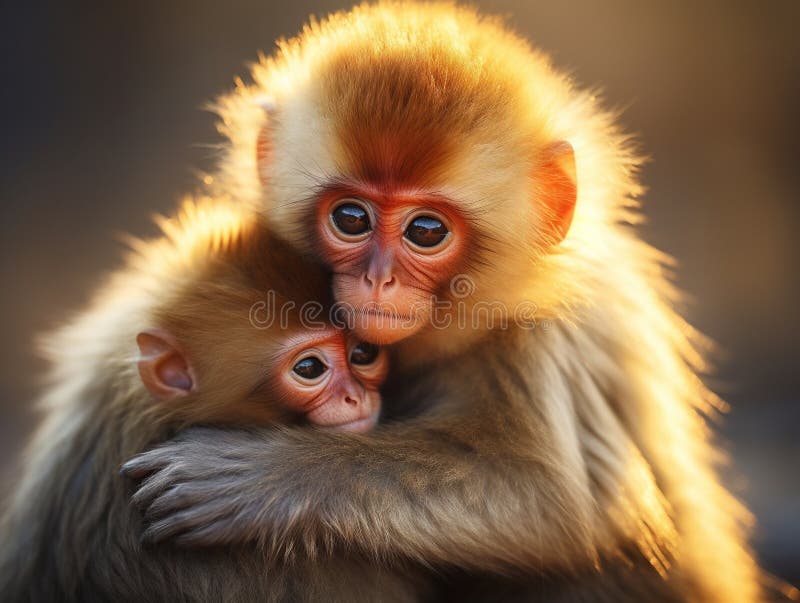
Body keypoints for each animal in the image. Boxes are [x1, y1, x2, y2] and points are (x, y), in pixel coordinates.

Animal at [117, 3, 783, 602]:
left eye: (426, 231)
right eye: (351, 218)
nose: (379, 280)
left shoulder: (539, 335)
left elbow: (552, 500)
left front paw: (263, 476)